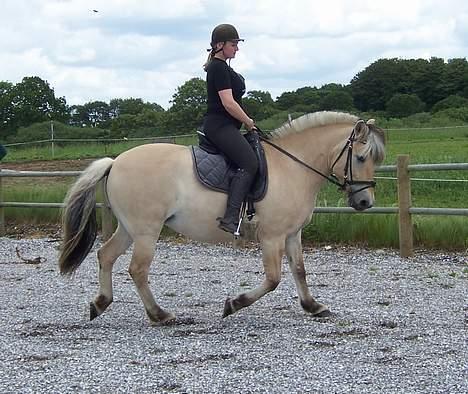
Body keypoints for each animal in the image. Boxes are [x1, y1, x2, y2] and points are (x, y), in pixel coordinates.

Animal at [58, 110, 386, 324]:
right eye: (360, 158)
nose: (365, 201)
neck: (293, 167)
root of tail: (115, 162)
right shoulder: (272, 236)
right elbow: (273, 278)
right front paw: (234, 304)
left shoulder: (293, 233)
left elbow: (299, 271)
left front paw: (313, 306)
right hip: (146, 231)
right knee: (137, 269)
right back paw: (160, 315)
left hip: (129, 229)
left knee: (105, 255)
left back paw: (100, 304)